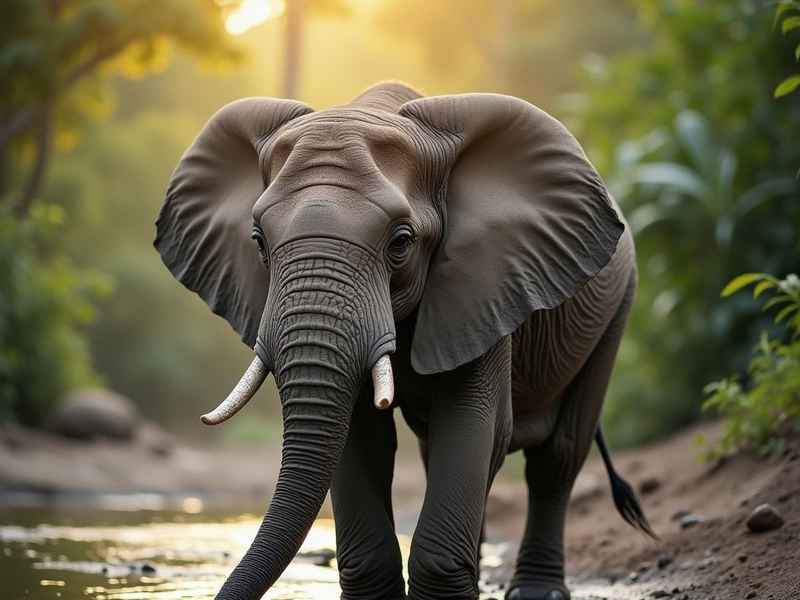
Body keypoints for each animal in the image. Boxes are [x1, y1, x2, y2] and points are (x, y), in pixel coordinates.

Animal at [155, 82, 654, 600]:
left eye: (401, 242)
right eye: (257, 241)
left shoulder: (485, 284)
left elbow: (475, 420)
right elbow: (362, 437)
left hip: (619, 305)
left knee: (557, 456)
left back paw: (538, 591)